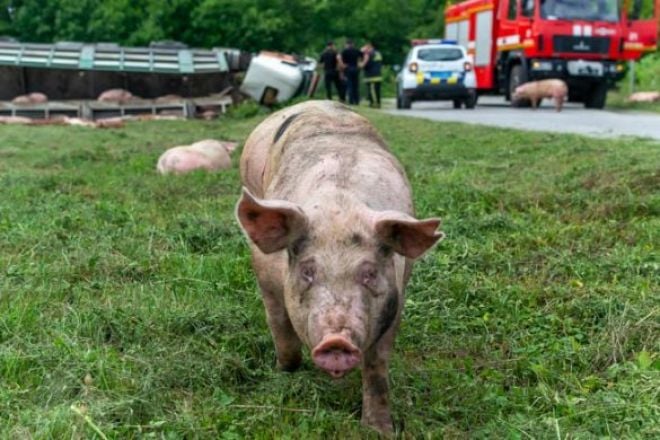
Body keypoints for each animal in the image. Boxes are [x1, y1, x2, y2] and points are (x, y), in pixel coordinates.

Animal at [235, 100, 446, 434]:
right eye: (308, 271)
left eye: (369, 273)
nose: (337, 341)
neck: (340, 203)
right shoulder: (265, 271)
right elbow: (280, 323)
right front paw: (285, 372)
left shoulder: (395, 299)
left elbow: (376, 366)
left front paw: (379, 430)